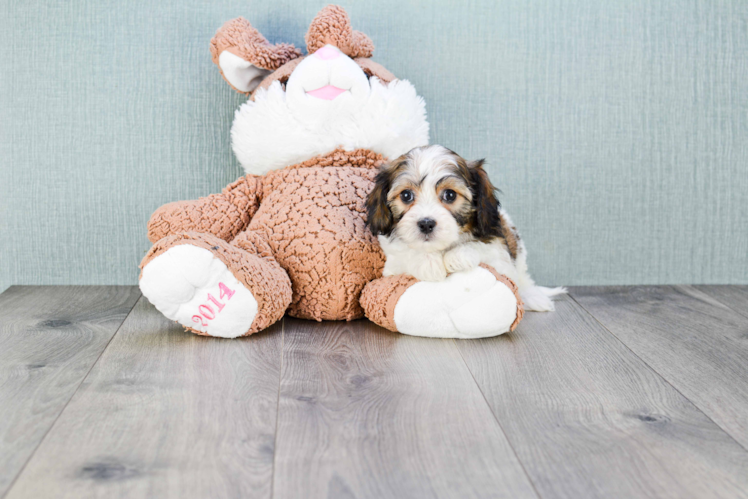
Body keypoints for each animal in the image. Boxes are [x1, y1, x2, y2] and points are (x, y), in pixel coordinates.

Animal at [366, 144, 564, 312]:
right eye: (406, 195)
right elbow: (406, 252)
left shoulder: (501, 257)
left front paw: (457, 256)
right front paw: (428, 263)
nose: (426, 223)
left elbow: (484, 247)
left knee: (523, 280)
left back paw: (533, 297)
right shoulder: (391, 266)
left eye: (450, 195)